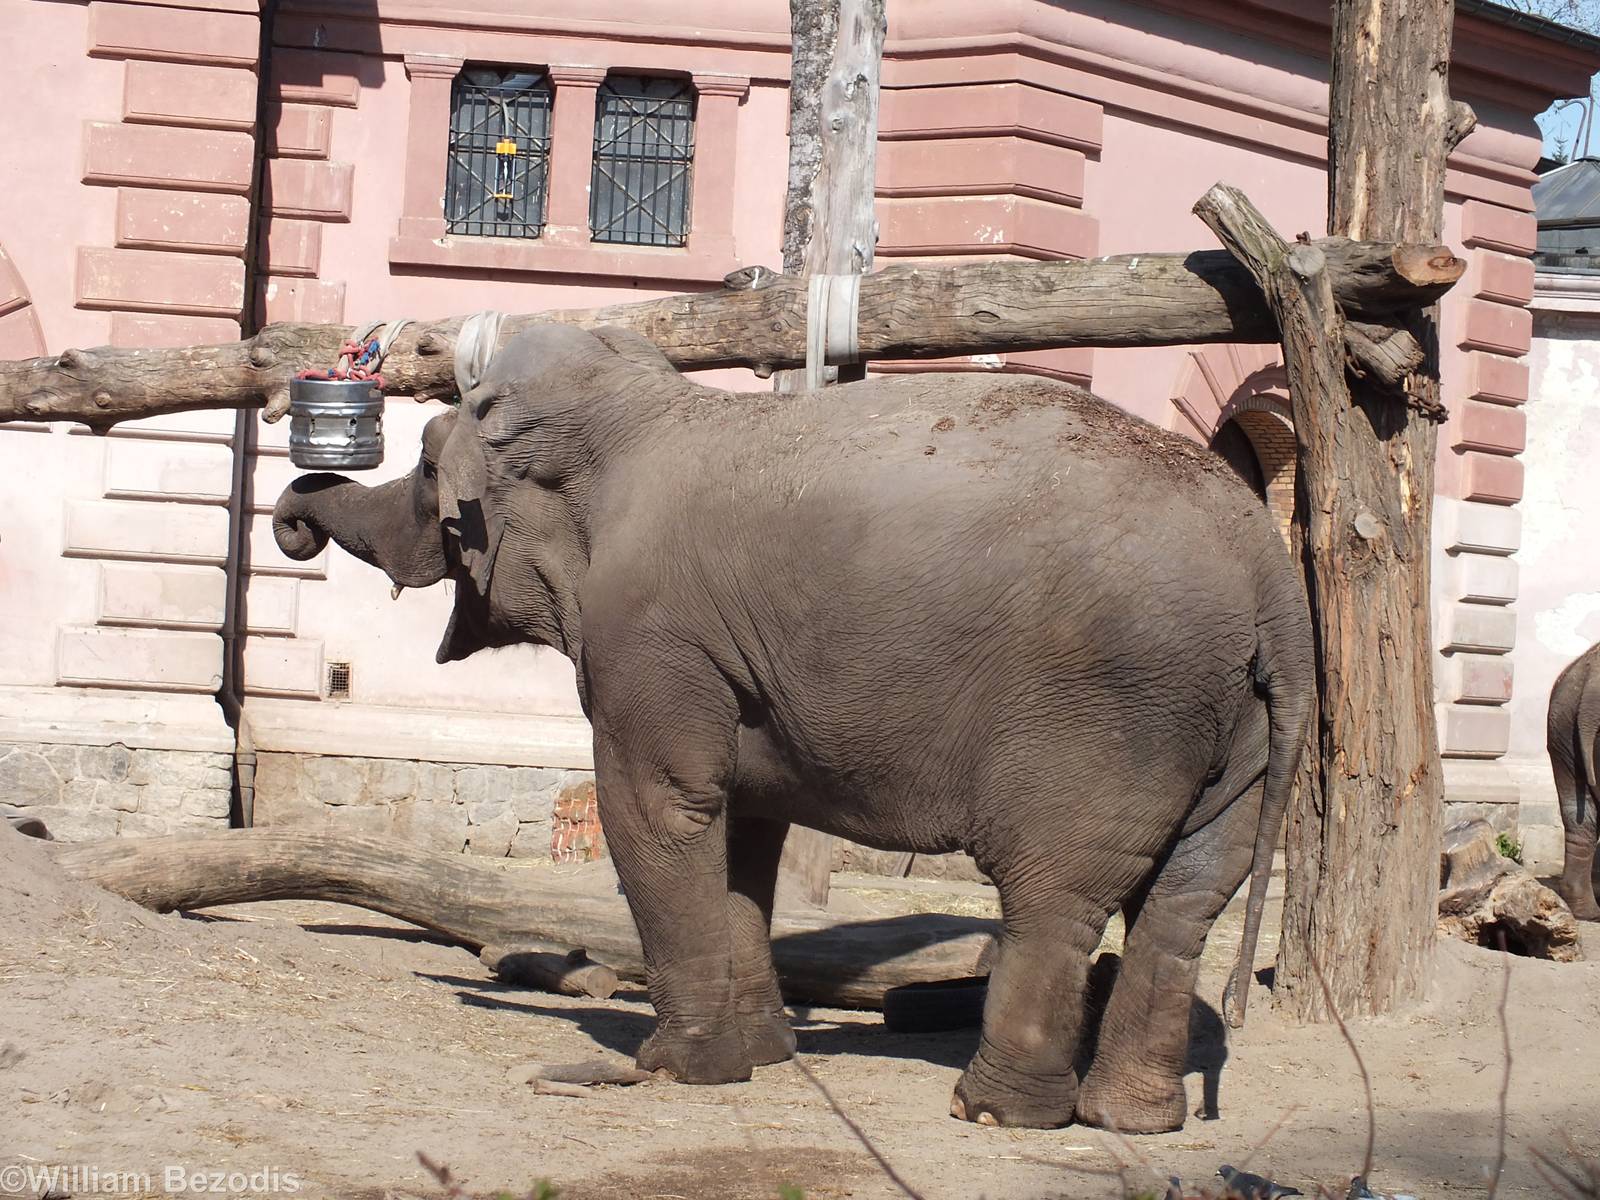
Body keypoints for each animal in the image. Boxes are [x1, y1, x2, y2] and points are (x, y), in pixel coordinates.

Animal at [272, 324, 1314, 1133]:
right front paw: (766, 1054)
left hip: (1113, 711)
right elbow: (742, 827)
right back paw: (1133, 1120)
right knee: (1185, 902)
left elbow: (656, 808)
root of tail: (1271, 576)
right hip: (1236, 727)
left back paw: (996, 1113)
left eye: (422, 465)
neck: (651, 410)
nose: (295, 521)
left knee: (1057, 895)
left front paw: (679, 1069)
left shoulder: (650, 631)